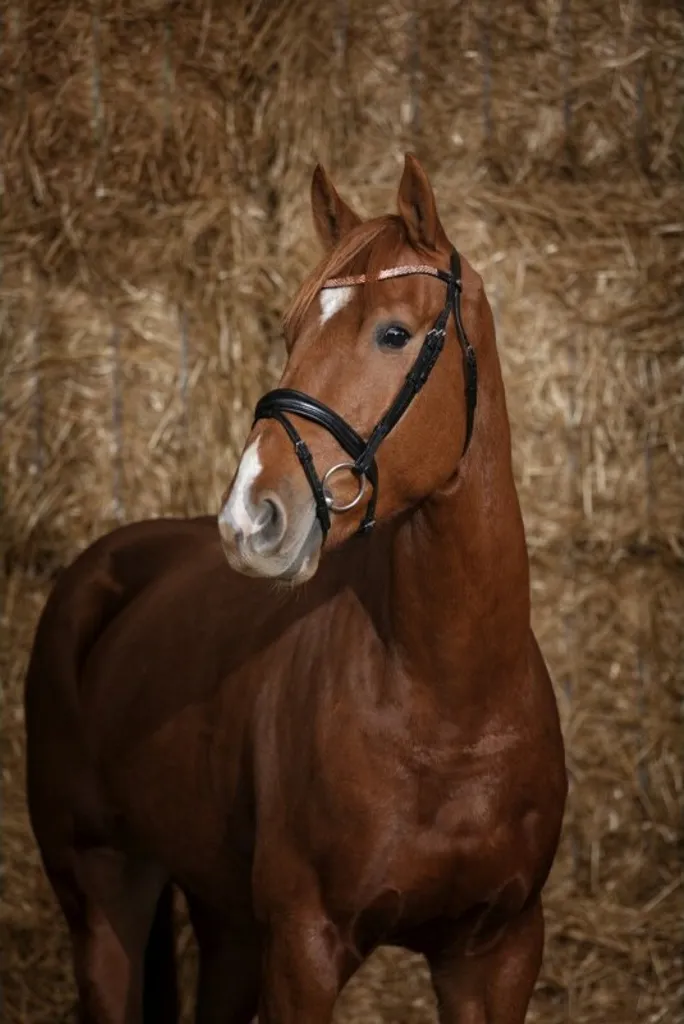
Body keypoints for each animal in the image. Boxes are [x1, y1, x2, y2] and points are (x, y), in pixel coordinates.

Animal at [24, 153, 567, 1024]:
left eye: (393, 333)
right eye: (289, 331)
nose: (252, 516)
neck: (450, 709)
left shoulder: (498, 951)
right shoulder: (305, 949)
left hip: (227, 921)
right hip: (101, 886)